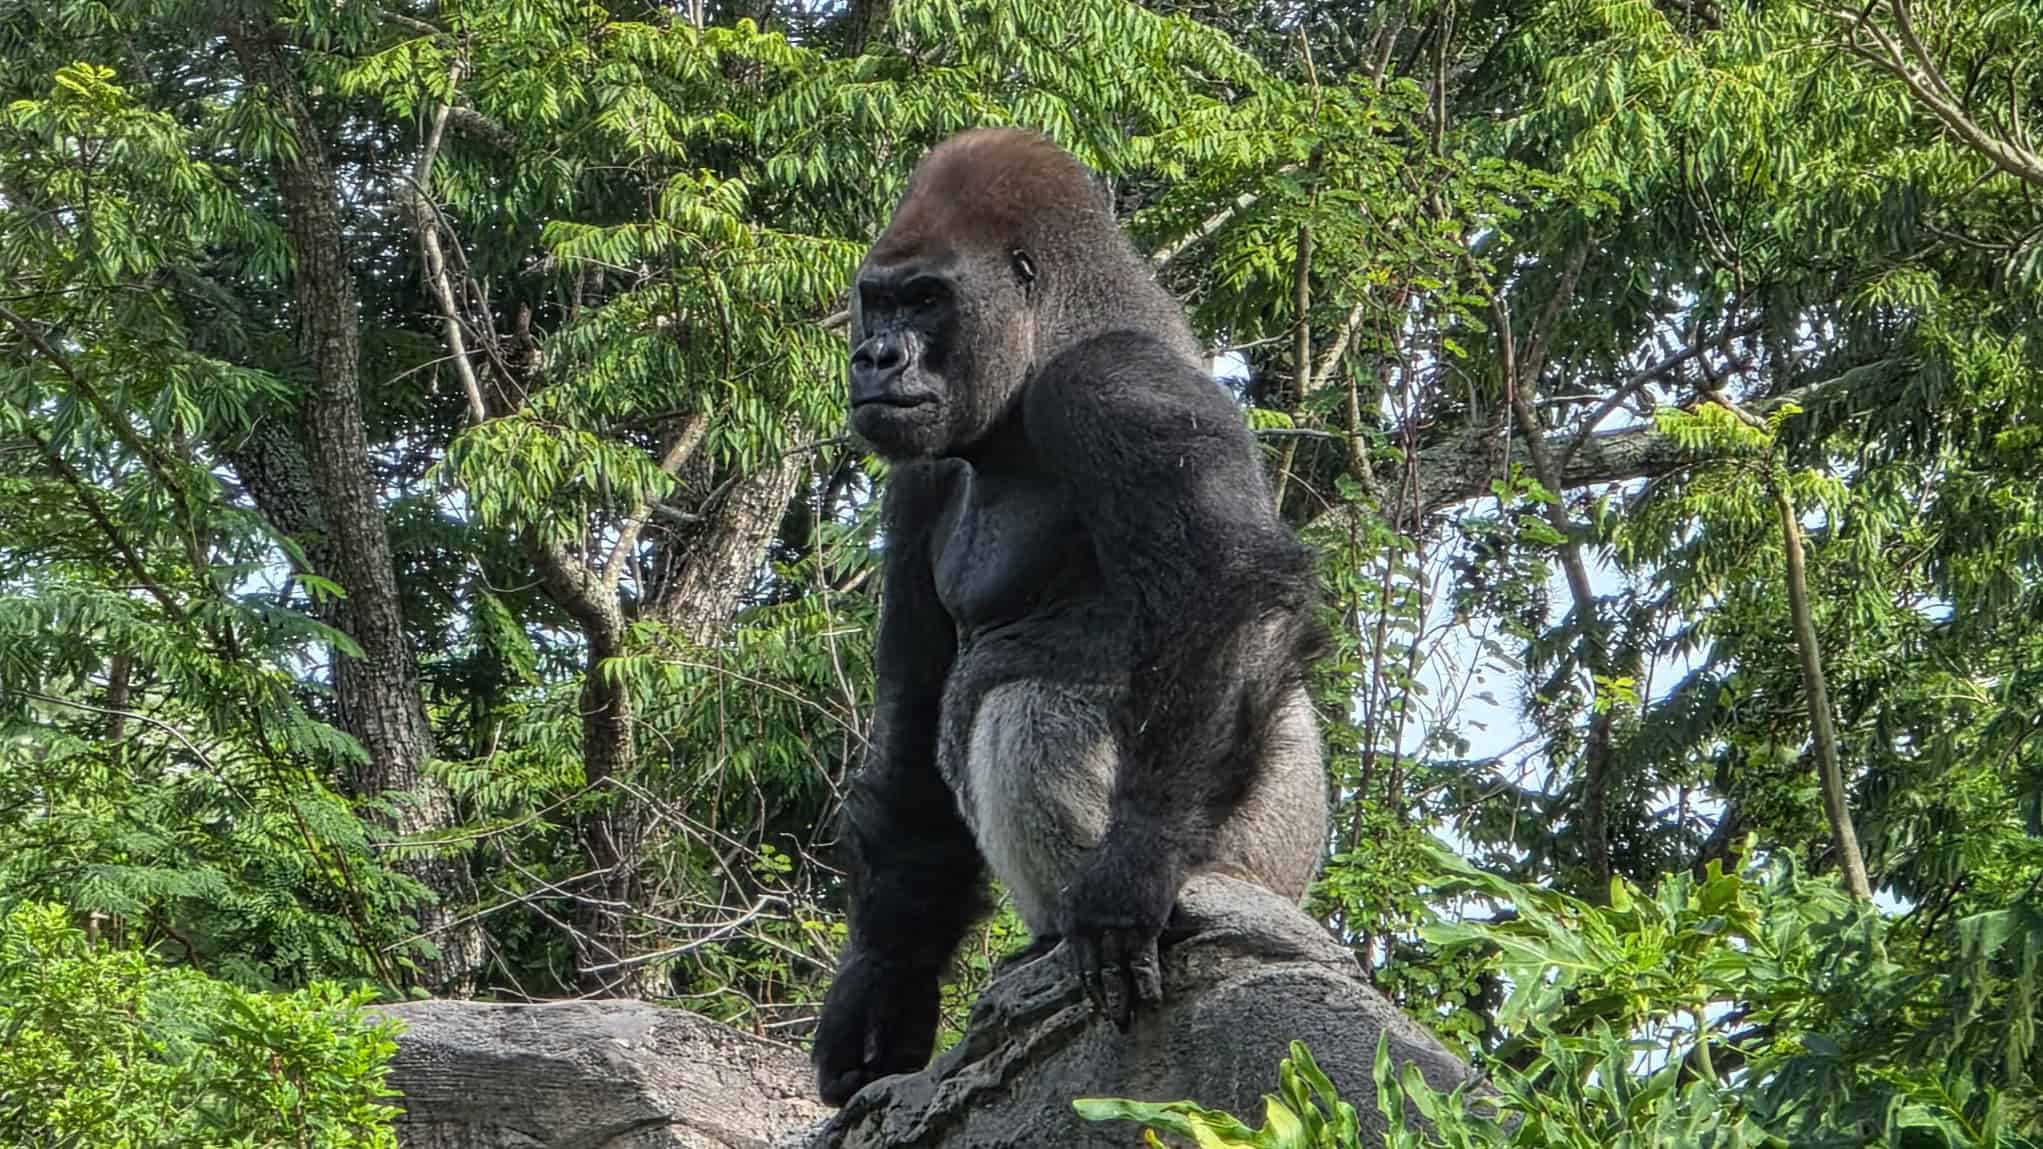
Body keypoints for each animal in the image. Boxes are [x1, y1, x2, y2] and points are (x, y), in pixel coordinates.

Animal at [812, 127, 1330, 1107]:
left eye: (927, 299)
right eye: (877, 301)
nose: (876, 358)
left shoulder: (1114, 385)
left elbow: (1224, 590)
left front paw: (1132, 871)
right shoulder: (919, 474)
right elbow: (912, 717)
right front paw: (883, 981)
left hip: (1264, 860)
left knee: (1028, 703)